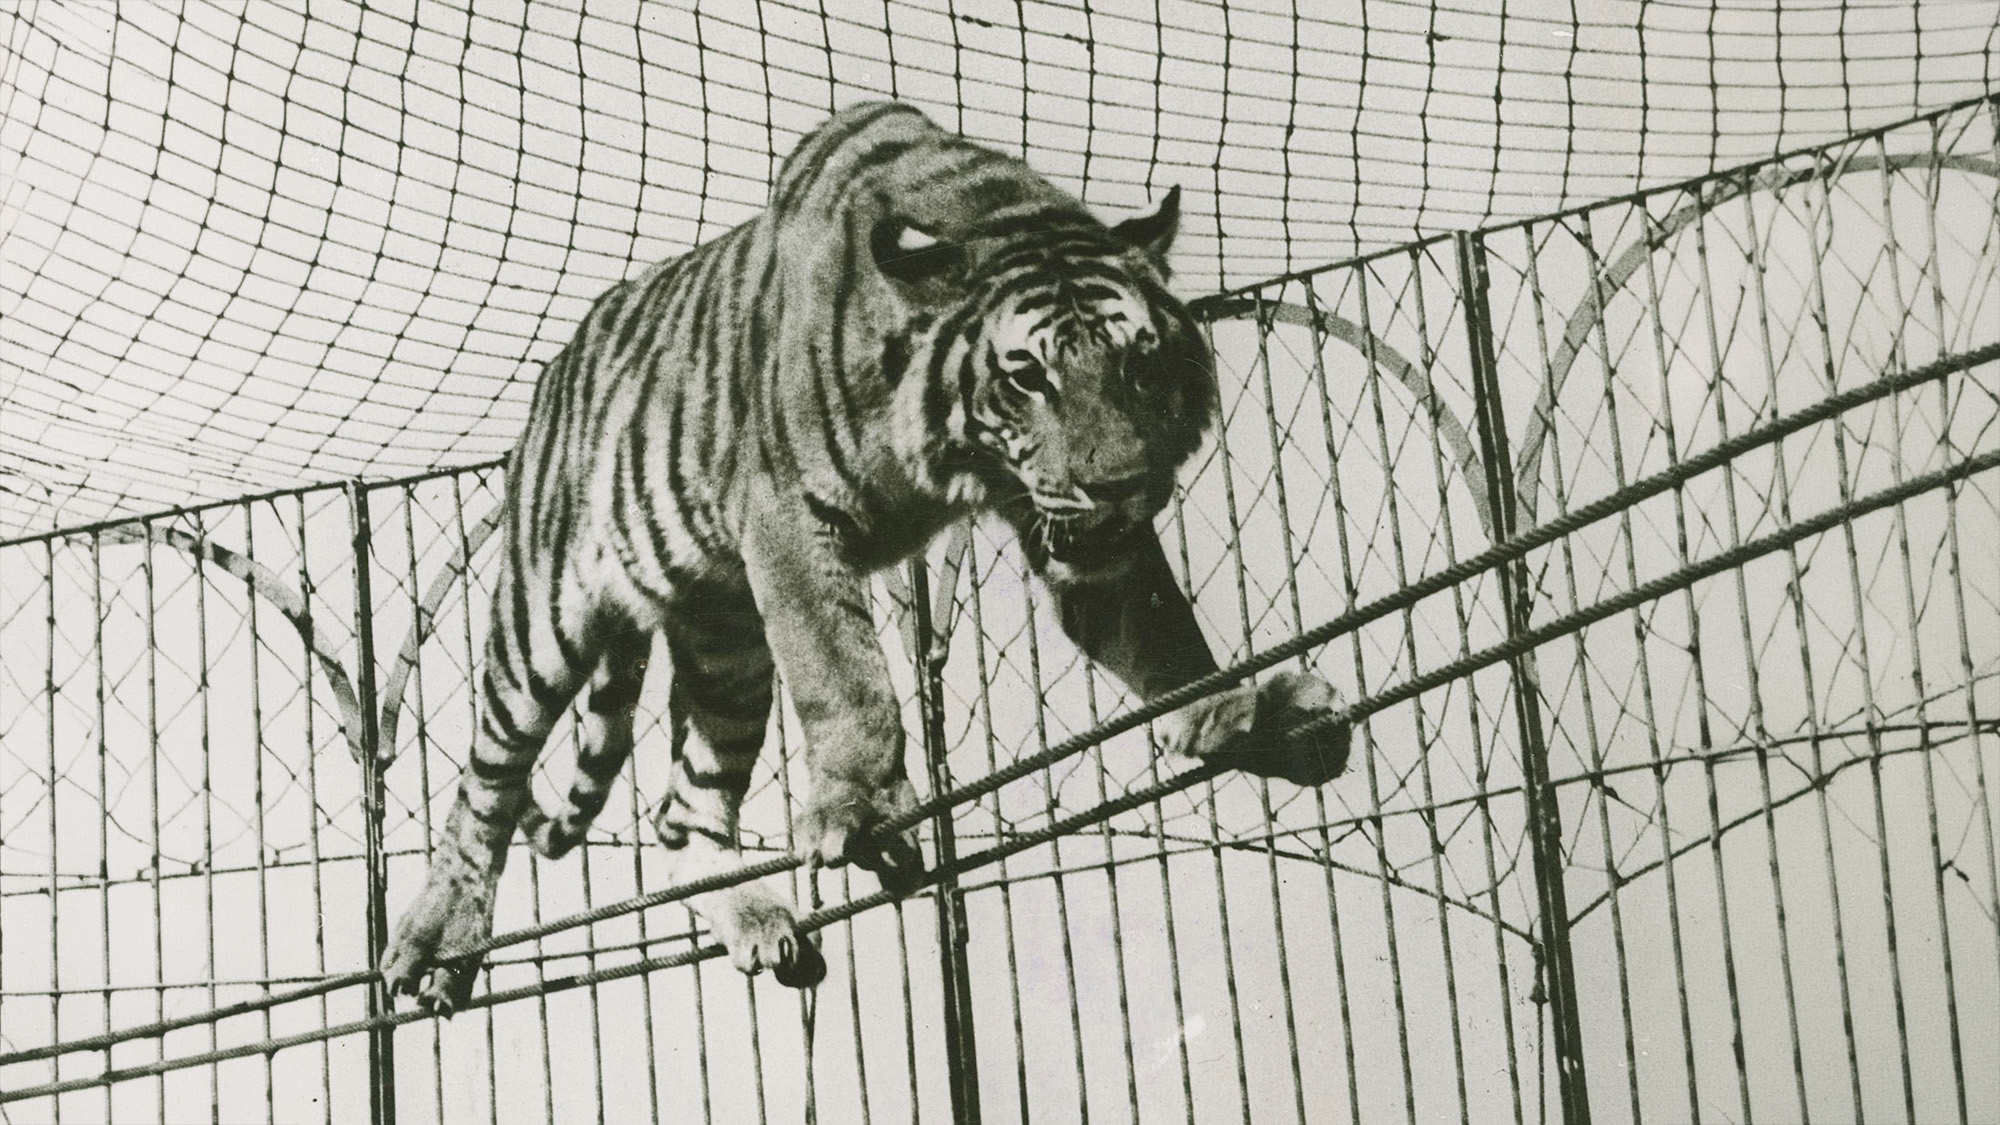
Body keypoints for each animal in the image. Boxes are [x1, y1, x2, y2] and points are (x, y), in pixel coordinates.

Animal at [381, 100, 1351, 1011]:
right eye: (1028, 375)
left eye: (1138, 362)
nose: (1120, 482)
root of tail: (556, 373)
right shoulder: (786, 515)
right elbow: (843, 673)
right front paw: (858, 807)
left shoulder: (1075, 532)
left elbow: (1161, 634)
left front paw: (1242, 713)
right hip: (543, 618)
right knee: (485, 787)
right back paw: (436, 941)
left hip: (727, 647)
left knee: (684, 809)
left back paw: (756, 918)